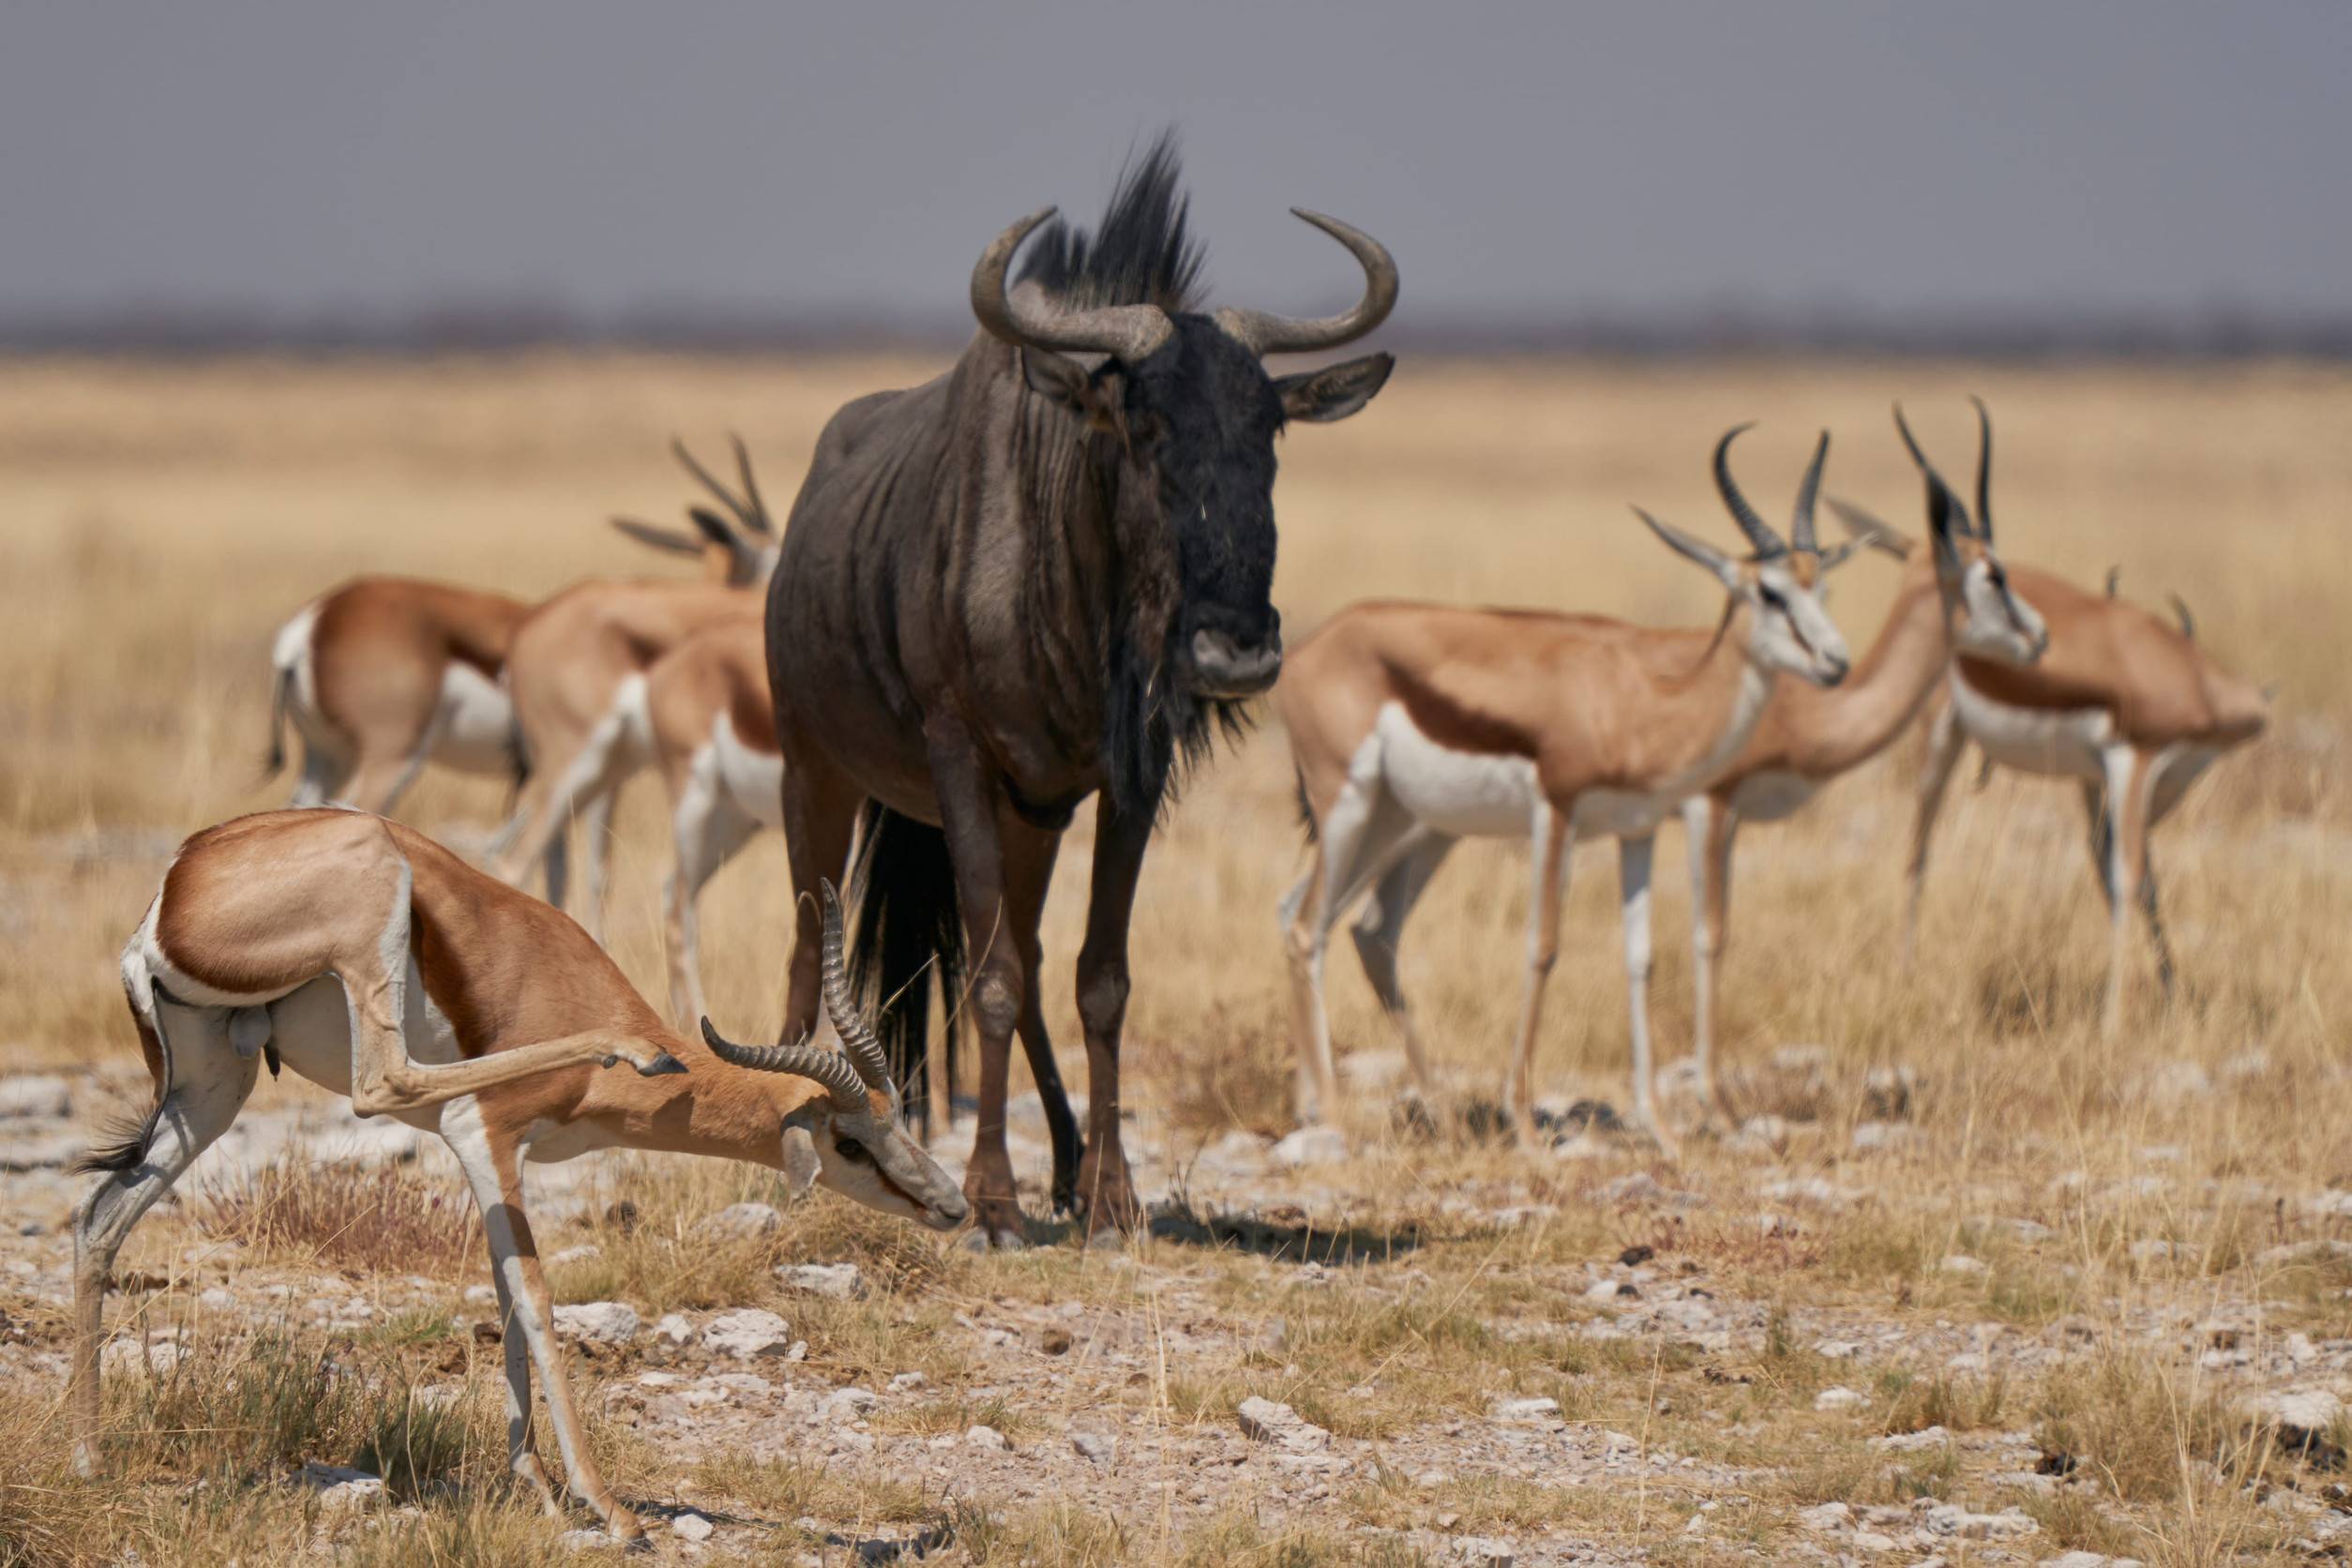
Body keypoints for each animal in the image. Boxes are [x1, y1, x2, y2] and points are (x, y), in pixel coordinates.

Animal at [68, 807, 964, 1544]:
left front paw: (535, 1486)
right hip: (369, 912)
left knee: (98, 1219)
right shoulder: (482, 1135)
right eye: (850, 1142)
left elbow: (504, 1296)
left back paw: (90, 1458)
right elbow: (533, 1295)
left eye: (896, 1118)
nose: (952, 1206)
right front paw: (609, 1509)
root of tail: (175, 891)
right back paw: (635, 1049)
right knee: (383, 1081)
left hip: (213, 1089)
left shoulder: (508, 1160)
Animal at [1275, 426, 1852, 1154]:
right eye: (1771, 593)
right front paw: (1524, 1120)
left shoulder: (1637, 828)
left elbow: (1640, 959)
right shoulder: (1558, 808)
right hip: (1350, 807)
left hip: (1399, 823)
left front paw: (1662, 1127)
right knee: (1307, 927)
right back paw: (1334, 1112)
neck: (1645, 698)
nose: (1836, 663)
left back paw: (1382, 1110)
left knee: (1331, 922)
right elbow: (1543, 946)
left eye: (1822, 587)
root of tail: (1313, 646)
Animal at [1670, 400, 2051, 1110]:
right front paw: (1710, 1091)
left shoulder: (1726, 822)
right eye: (1994, 573)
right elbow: (1711, 934)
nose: (2039, 635)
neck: (1800, 710)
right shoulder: (1711, 809)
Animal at [1898, 404, 2269, 1037]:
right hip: (1939, 741)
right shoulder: (2131, 763)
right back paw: (1910, 973)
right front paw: (2112, 1022)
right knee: (1919, 848)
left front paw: (2174, 1000)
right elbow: (2125, 879)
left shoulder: (2110, 781)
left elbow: (2139, 881)